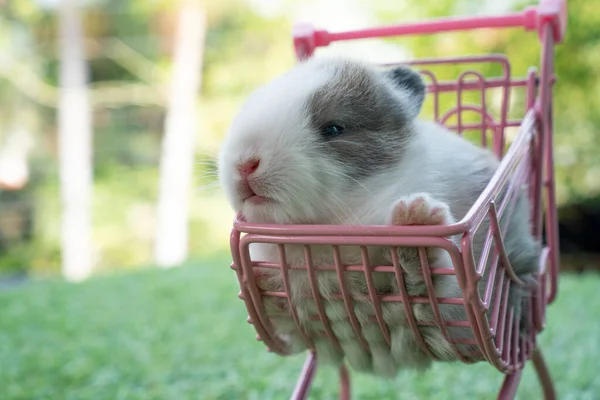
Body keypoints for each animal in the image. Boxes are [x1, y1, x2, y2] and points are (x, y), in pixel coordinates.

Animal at [218, 54, 540, 376]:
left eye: (333, 129)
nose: (245, 164)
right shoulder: (298, 327)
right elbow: (276, 310)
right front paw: (254, 278)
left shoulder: (436, 311)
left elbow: (424, 280)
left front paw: (417, 216)